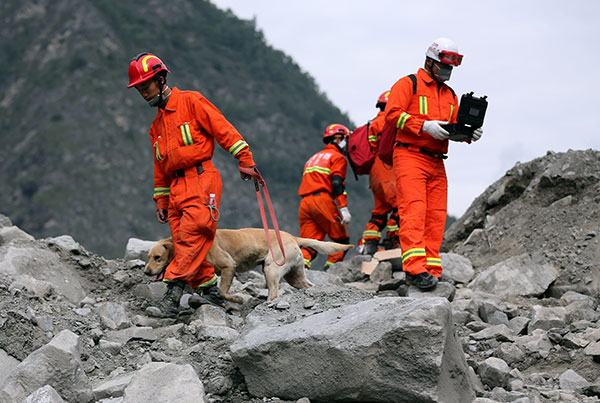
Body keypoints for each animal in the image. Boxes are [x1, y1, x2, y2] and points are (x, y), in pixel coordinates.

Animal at [144, 229, 354, 304]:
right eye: (148, 257)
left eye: (157, 257)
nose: (146, 272)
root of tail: (293, 237)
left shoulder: (229, 266)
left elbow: (224, 291)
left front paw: (235, 299)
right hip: (294, 276)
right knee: (307, 285)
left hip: (271, 268)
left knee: (274, 293)